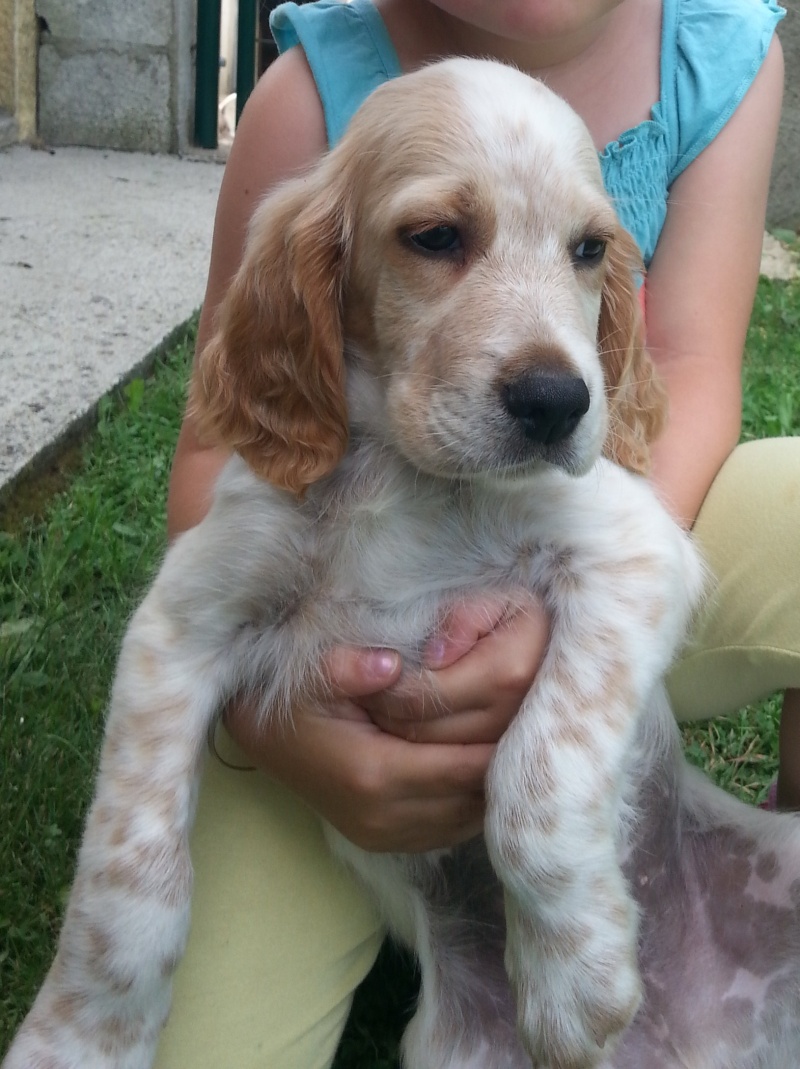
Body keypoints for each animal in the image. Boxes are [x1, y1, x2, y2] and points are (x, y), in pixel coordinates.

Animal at [4, 56, 800, 1069]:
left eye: (588, 250)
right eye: (435, 237)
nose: (558, 401)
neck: (409, 477)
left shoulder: (632, 553)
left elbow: (535, 773)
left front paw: (575, 980)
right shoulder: (179, 625)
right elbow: (126, 877)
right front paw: (75, 1039)